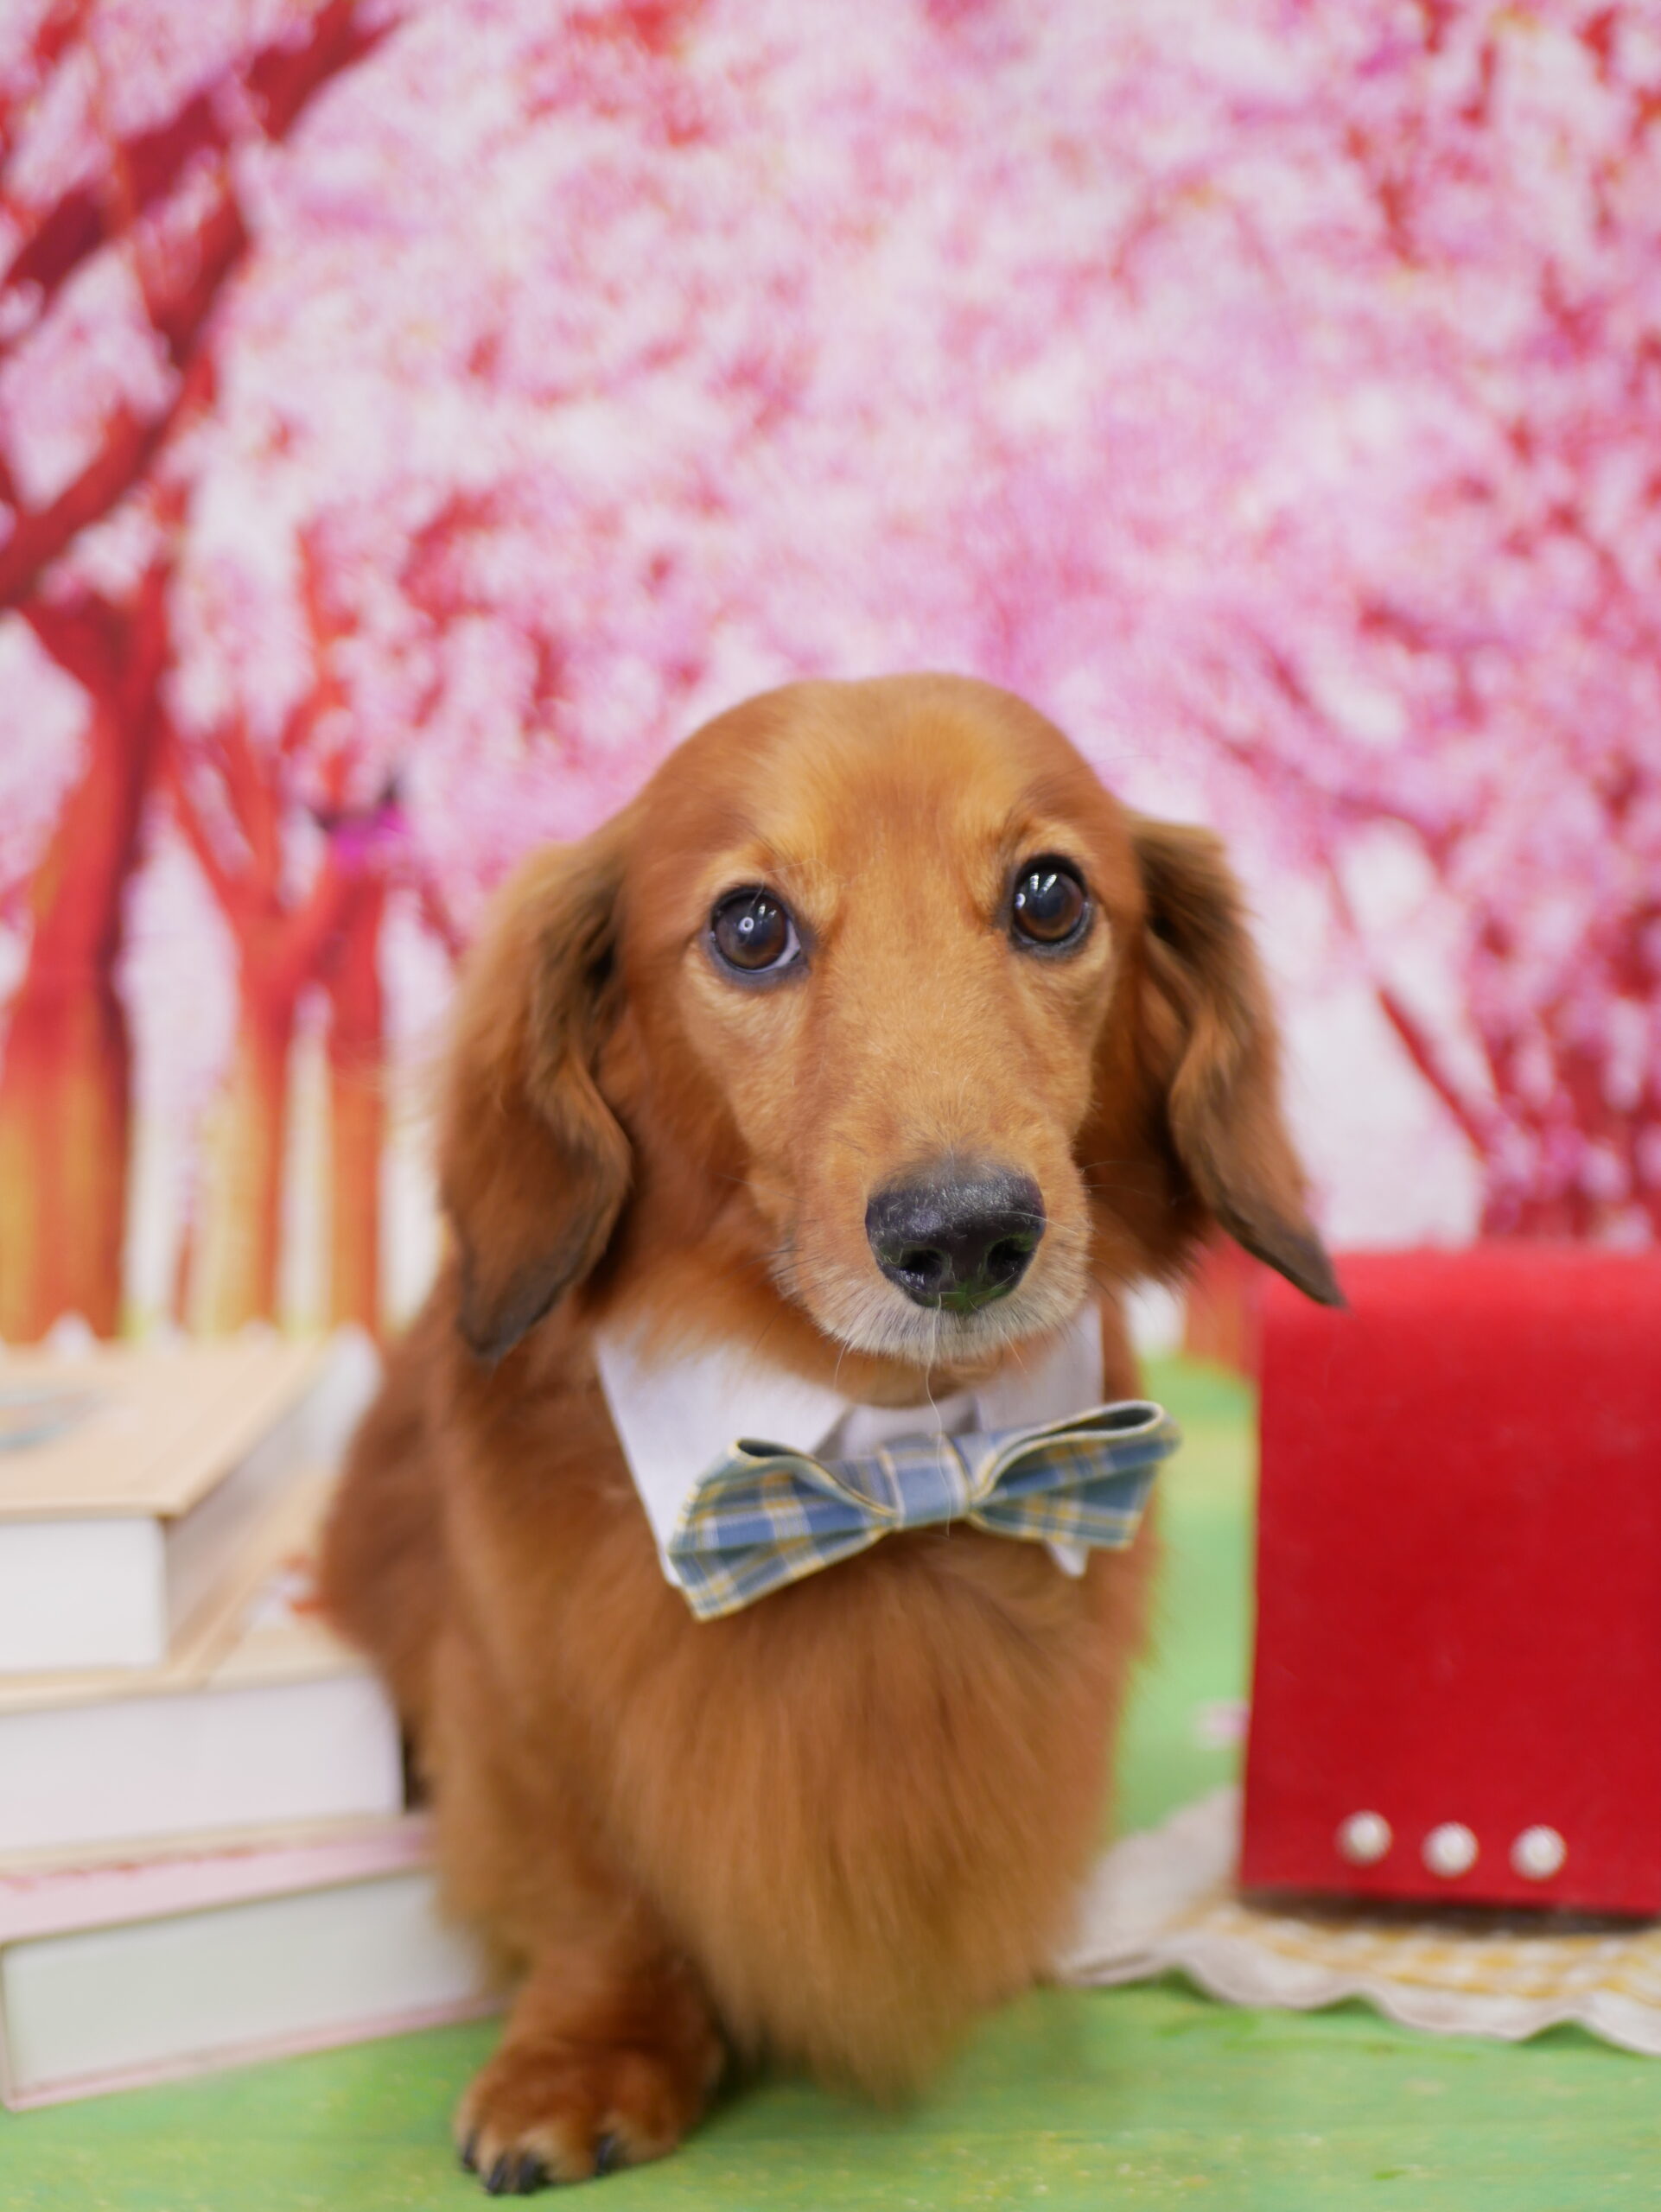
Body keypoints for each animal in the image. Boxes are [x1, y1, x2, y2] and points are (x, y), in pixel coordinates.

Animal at [320, 673, 1338, 2193]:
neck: (883, 1459)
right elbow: (598, 1883)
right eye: (750, 927)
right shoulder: (513, 1698)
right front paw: (592, 2048)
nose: (964, 1235)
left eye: (1050, 897)